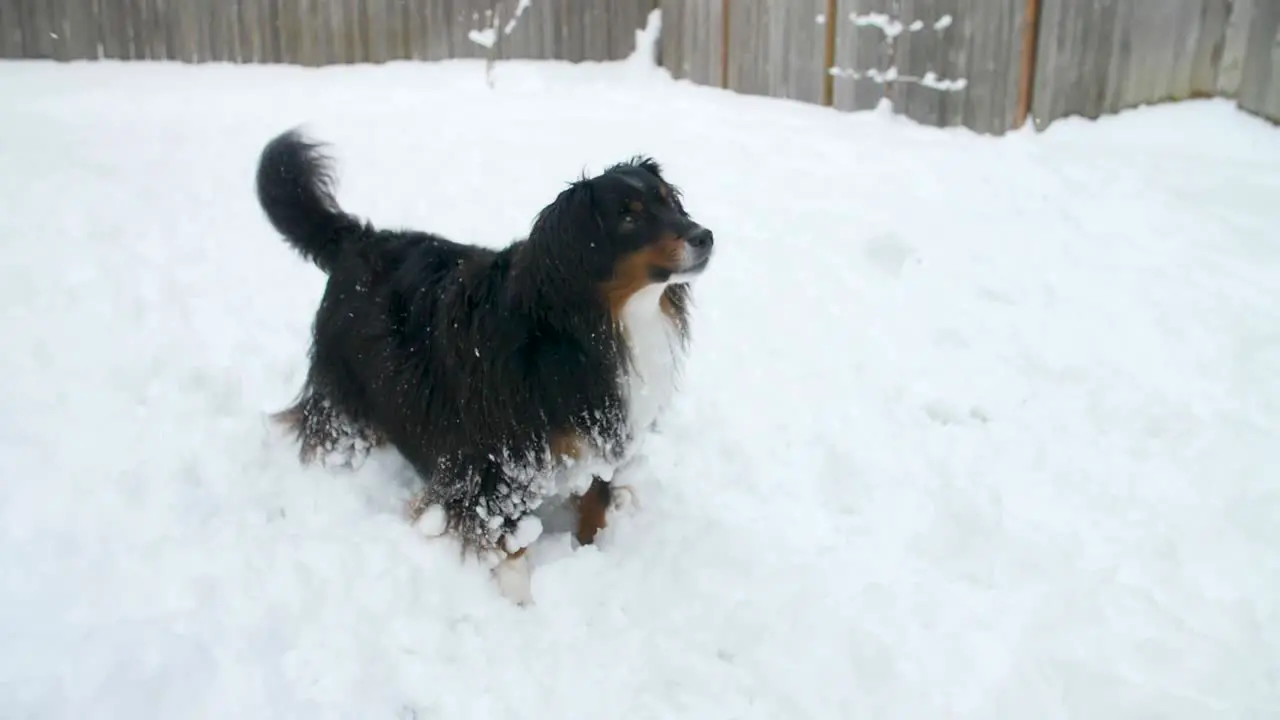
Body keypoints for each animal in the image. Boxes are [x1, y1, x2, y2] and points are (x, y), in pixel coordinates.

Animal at [249, 127, 711, 599]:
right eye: (628, 217)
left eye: (668, 202)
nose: (704, 235)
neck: (586, 326)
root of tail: (359, 238)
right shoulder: (498, 458)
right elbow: (507, 534)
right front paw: (518, 597)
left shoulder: (603, 429)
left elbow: (595, 504)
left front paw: (590, 554)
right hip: (345, 393)